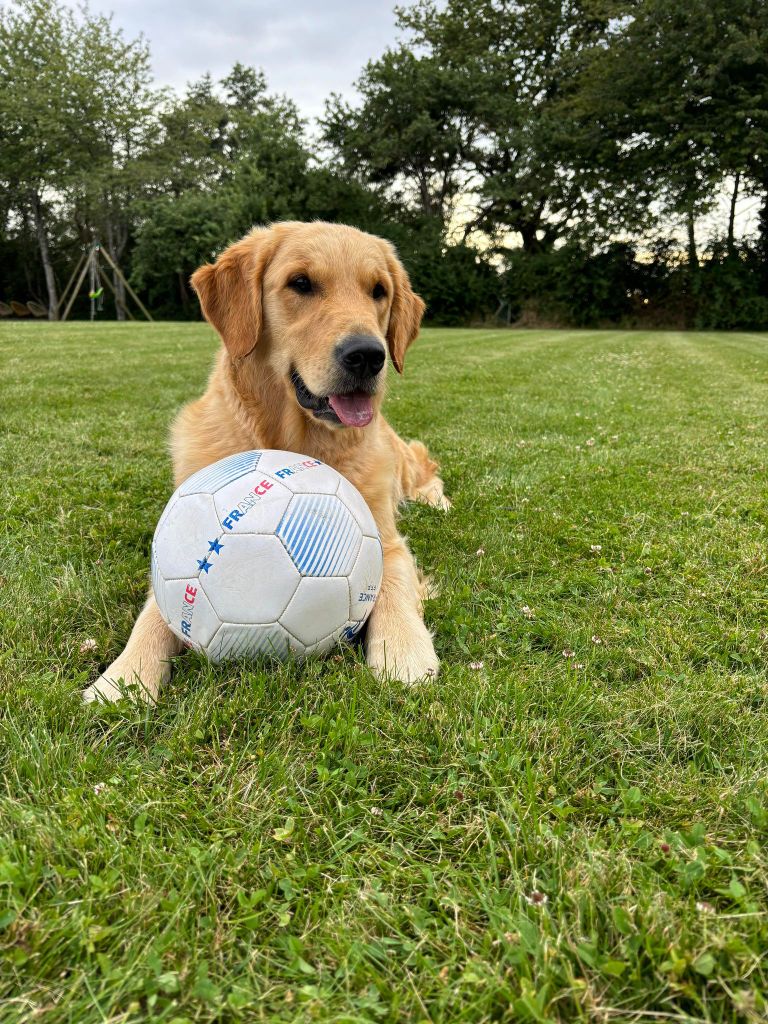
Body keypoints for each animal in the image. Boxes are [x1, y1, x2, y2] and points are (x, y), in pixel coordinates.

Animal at [85, 221, 450, 704]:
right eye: (301, 283)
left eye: (379, 291)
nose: (368, 356)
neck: (290, 439)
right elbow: (154, 613)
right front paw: (124, 676)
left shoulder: (385, 540)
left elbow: (392, 587)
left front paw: (405, 651)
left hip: (401, 460)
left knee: (426, 469)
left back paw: (438, 502)